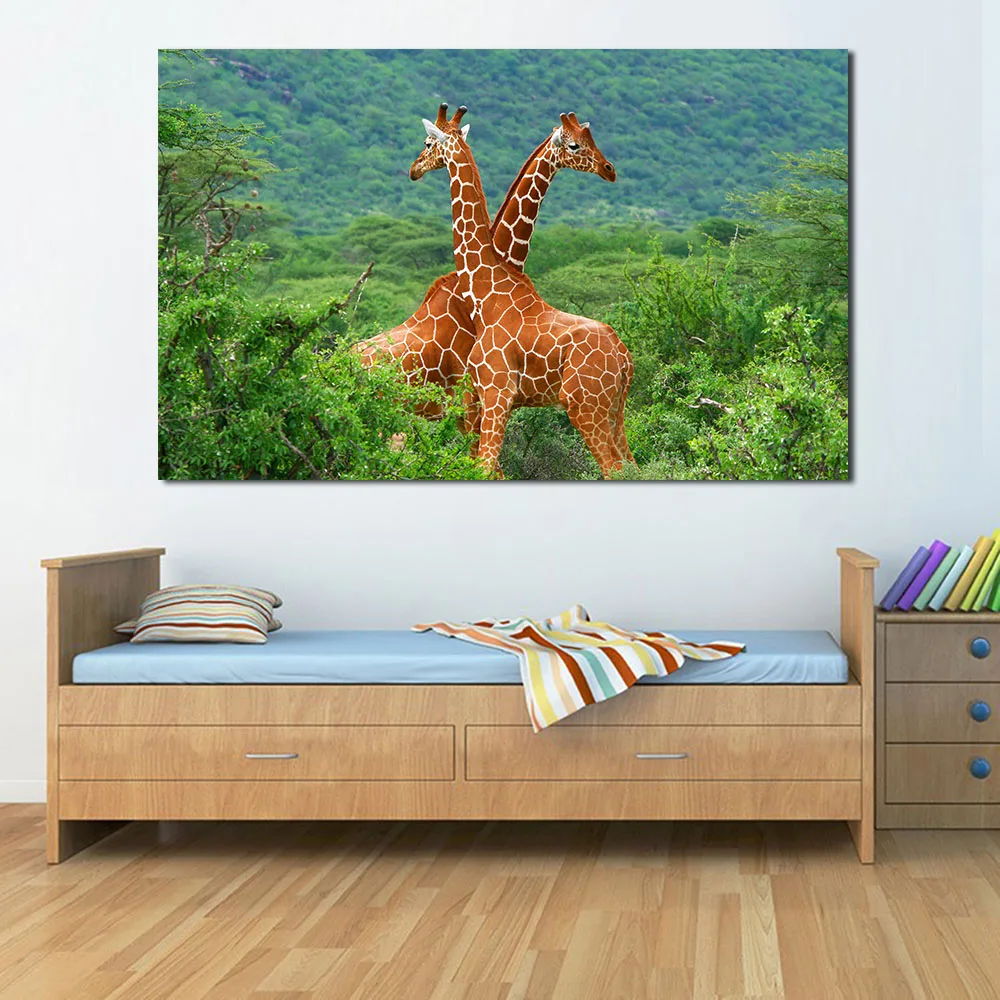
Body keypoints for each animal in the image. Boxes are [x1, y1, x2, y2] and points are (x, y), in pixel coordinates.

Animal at [410, 104, 634, 479]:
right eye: (576, 144)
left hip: (586, 406)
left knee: (614, 468)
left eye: (428, 143)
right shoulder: (485, 397)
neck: (486, 291)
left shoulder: (496, 391)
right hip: (615, 411)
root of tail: (624, 358)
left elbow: (486, 468)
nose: (414, 169)